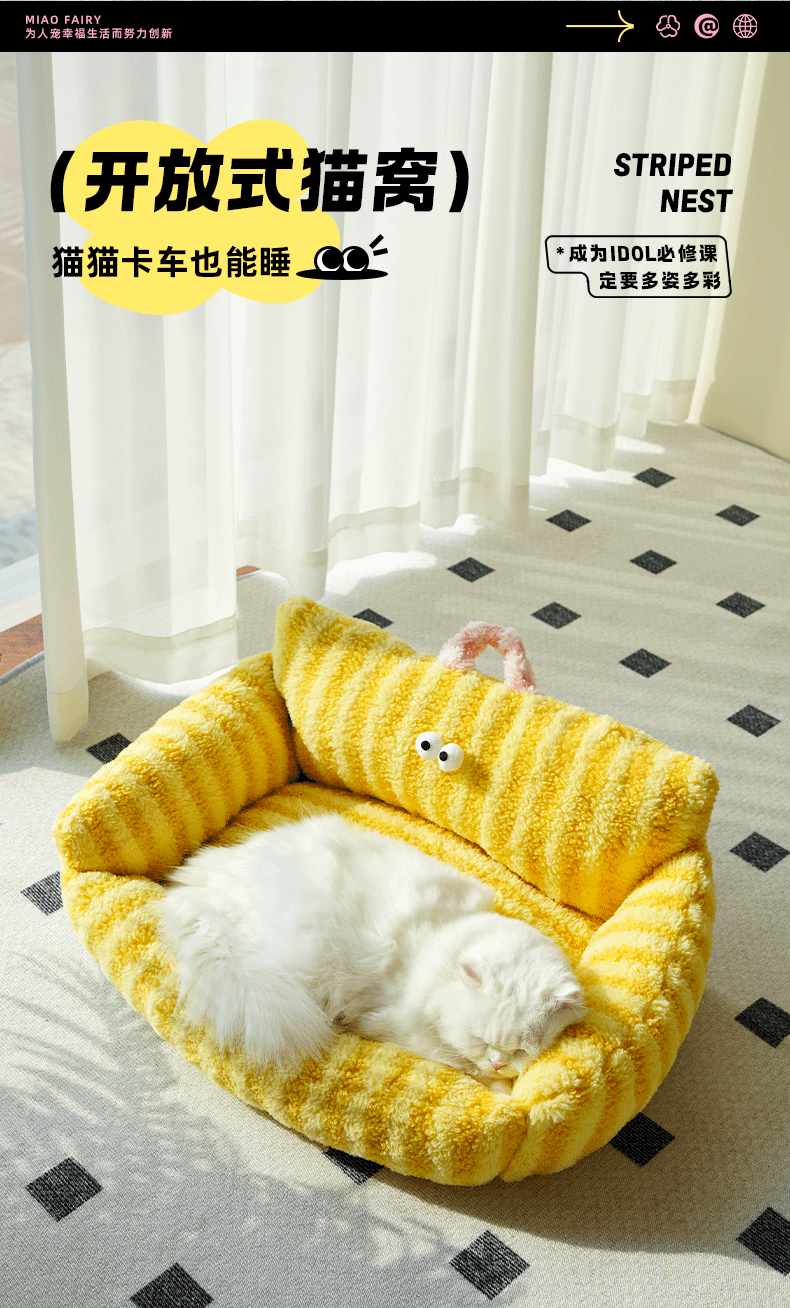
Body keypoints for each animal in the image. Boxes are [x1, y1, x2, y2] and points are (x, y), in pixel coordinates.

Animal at [156, 813, 587, 1093]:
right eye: (480, 1039)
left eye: (520, 1050)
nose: (498, 1060)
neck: (437, 939)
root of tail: (196, 890)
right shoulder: (399, 1028)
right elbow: (463, 1065)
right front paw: (500, 1089)